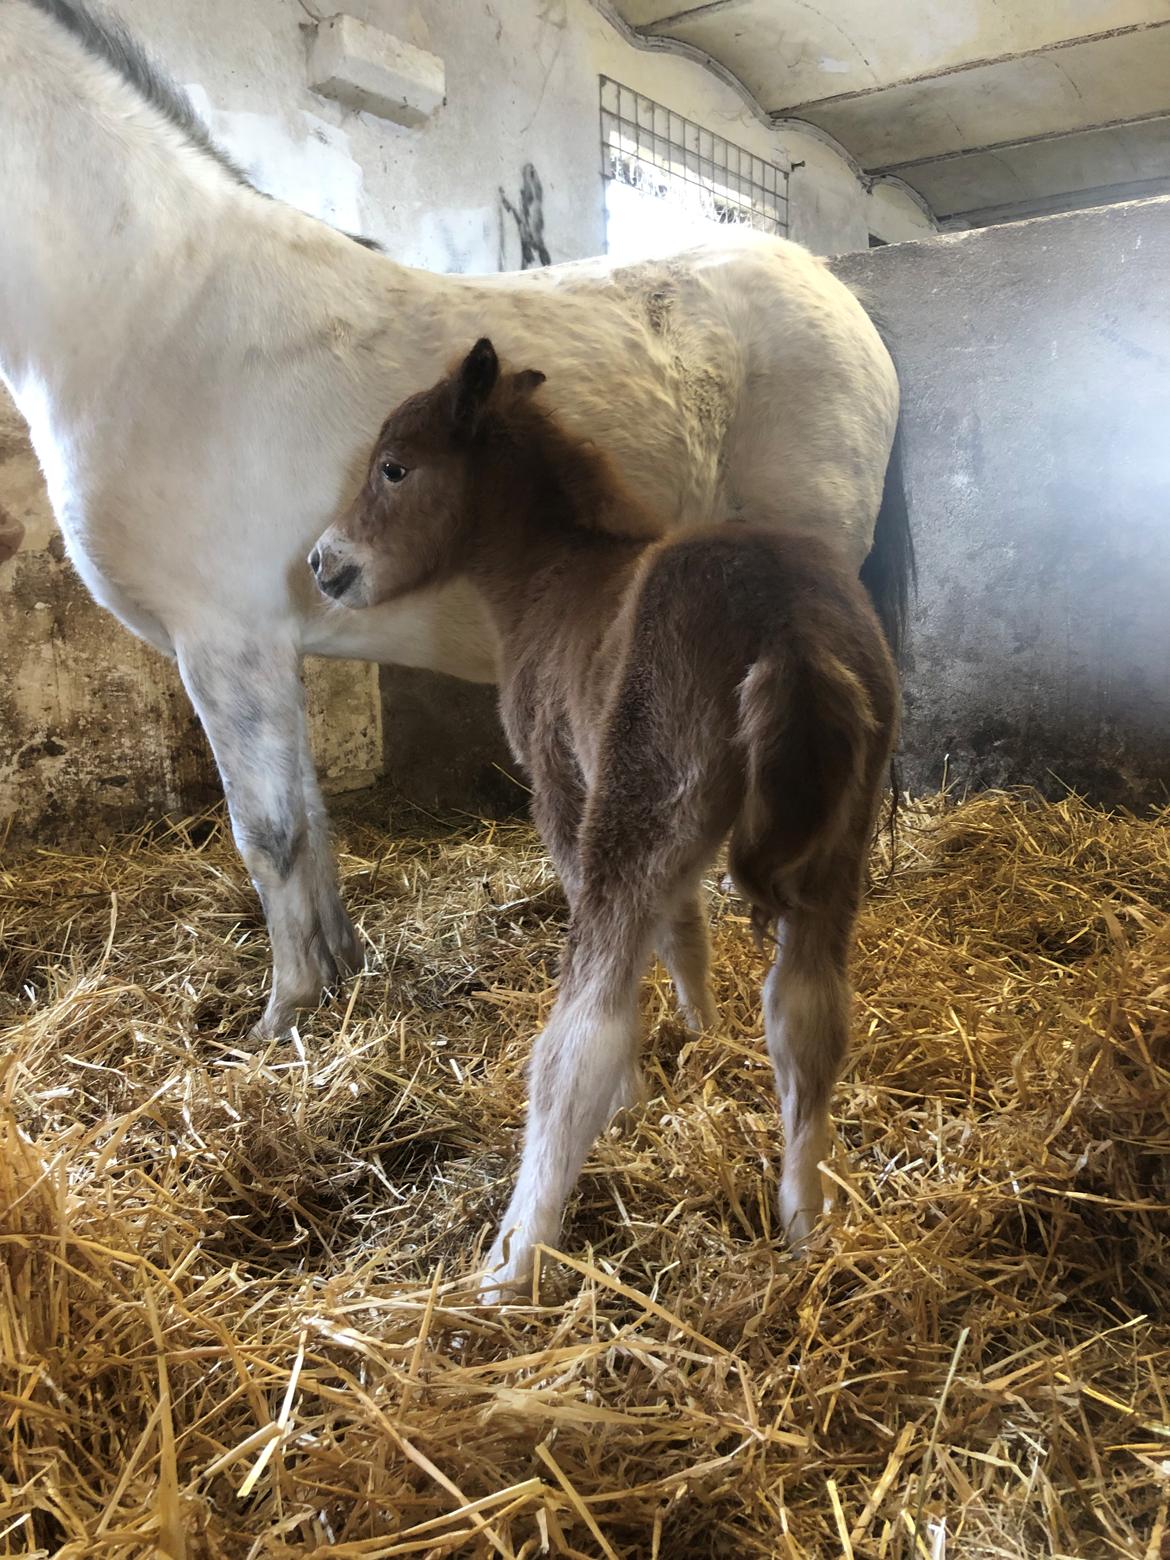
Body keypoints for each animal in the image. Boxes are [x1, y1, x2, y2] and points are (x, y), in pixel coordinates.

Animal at [0, 0, 911, 1035]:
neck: (155, 310)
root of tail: (836, 293)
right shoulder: (269, 644)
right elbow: (309, 817)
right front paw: (339, 973)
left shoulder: (224, 640)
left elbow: (268, 831)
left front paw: (283, 1014)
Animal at [333, 344, 904, 1304]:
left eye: (394, 467)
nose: (324, 567)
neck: (554, 575)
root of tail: (786, 624)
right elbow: (686, 928)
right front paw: (703, 1031)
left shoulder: (569, 794)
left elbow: (635, 962)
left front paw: (641, 1087)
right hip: (834, 846)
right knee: (807, 1014)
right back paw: (806, 1224)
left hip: (635, 815)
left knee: (578, 1037)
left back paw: (516, 1257)